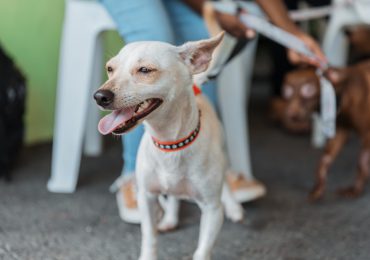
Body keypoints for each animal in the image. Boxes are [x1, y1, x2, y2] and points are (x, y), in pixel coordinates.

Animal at [93, 33, 243, 260]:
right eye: (110, 69)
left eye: (145, 70)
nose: (100, 96)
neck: (170, 143)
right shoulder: (146, 198)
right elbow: (149, 237)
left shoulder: (212, 211)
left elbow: (202, 250)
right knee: (172, 196)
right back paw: (170, 219)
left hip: (223, 155)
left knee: (225, 182)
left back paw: (234, 207)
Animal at [282, 61, 368, 201]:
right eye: (286, 92)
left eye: (308, 90)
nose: (291, 115)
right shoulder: (340, 131)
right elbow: (324, 160)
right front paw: (318, 188)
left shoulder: (367, 135)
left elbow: (362, 162)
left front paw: (355, 190)